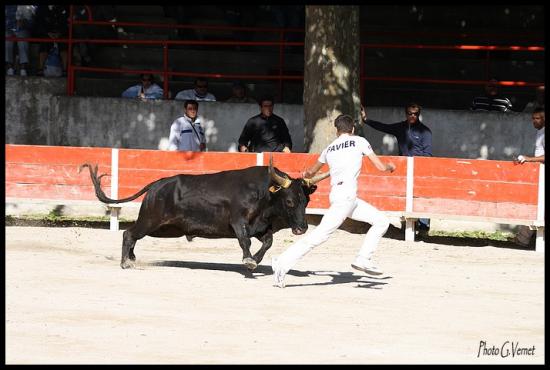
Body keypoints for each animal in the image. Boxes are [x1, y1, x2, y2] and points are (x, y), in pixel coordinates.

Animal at [80, 160, 330, 270]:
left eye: (306, 201)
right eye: (289, 201)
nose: (302, 228)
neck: (265, 194)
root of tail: (156, 185)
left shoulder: (260, 226)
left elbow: (267, 242)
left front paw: (255, 261)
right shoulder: (238, 222)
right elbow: (244, 241)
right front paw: (248, 260)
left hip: (162, 228)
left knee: (132, 234)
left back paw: (131, 258)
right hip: (151, 219)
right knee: (129, 234)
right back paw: (125, 263)